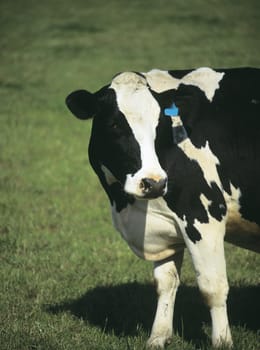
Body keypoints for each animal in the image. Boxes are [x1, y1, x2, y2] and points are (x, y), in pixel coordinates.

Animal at [65, 67, 260, 348]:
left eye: (160, 127)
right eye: (114, 125)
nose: (154, 183)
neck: (126, 206)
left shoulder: (204, 216)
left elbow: (213, 287)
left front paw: (222, 342)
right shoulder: (164, 227)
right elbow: (166, 283)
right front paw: (158, 337)